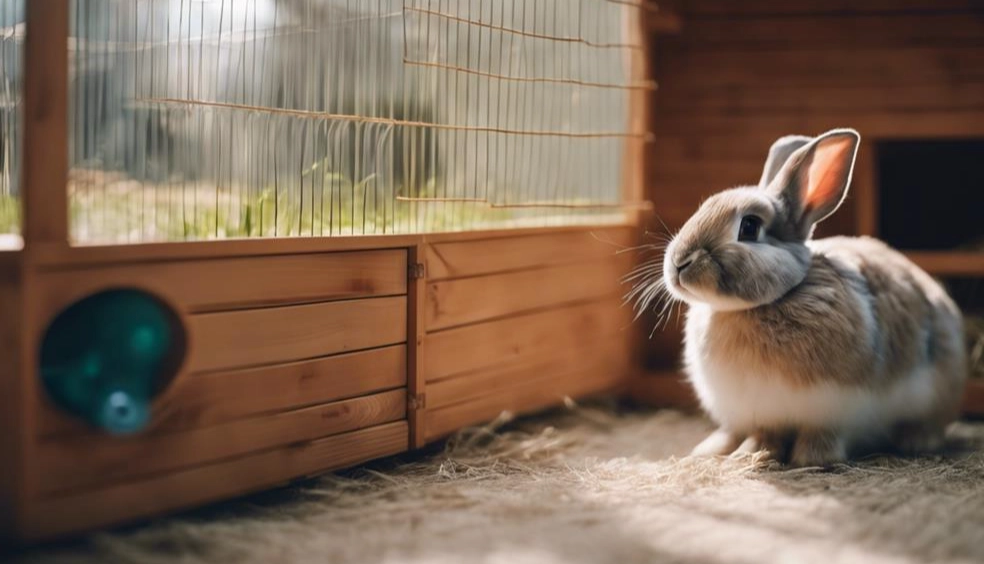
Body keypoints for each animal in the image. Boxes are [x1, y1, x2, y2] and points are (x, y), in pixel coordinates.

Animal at [655, 128, 966, 467]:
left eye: (749, 227)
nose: (679, 263)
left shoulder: (831, 409)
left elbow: (819, 434)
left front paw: (810, 459)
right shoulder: (762, 414)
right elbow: (764, 434)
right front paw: (745, 454)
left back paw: (916, 440)